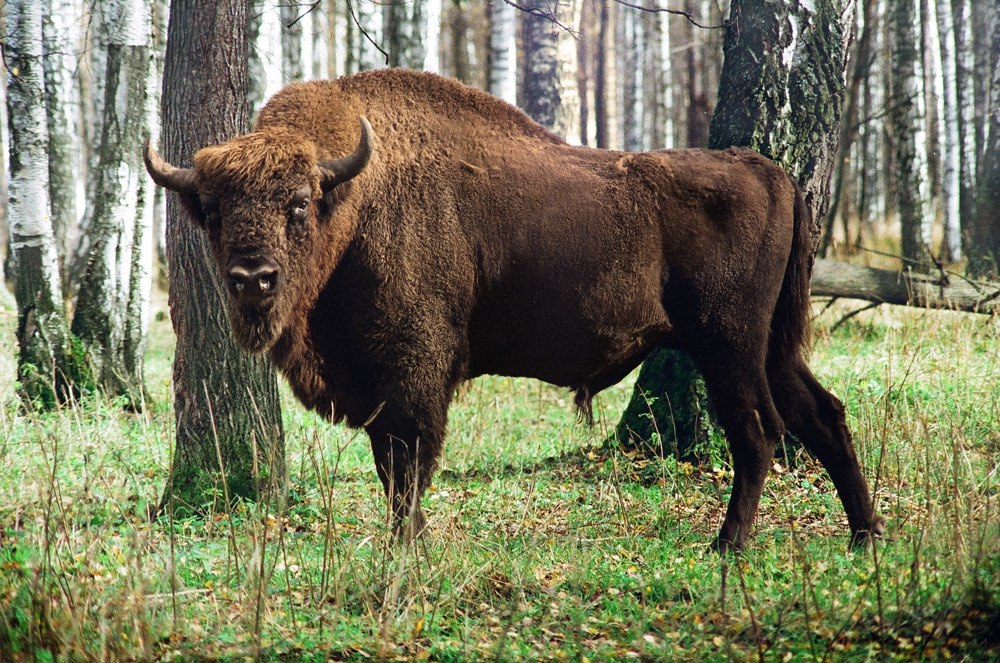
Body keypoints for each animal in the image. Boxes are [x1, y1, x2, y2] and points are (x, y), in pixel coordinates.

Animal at [143, 70, 884, 552]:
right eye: (212, 210)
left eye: (298, 204)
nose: (253, 279)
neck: (354, 196)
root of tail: (768, 170)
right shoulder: (381, 385)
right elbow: (392, 467)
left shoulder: (414, 373)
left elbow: (409, 467)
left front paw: (407, 551)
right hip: (772, 346)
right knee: (823, 414)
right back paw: (864, 534)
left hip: (729, 346)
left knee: (758, 433)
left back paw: (728, 545)